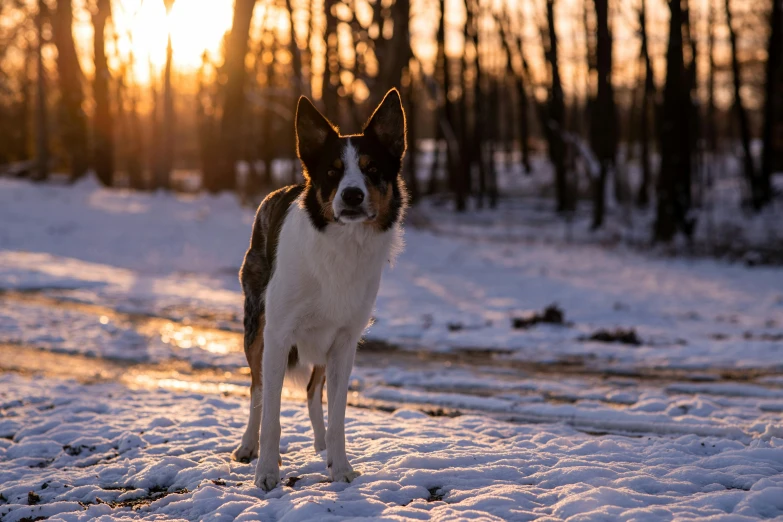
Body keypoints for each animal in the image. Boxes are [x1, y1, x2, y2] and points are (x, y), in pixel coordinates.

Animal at [231, 87, 404, 490]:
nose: (352, 195)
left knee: (313, 391)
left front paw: (339, 468)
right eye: (332, 173)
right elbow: (272, 414)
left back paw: (322, 445)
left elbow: (338, 413)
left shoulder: (345, 341)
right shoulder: (278, 335)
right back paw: (249, 447)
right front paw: (267, 472)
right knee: (257, 391)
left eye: (372, 170)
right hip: (256, 328)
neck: (342, 245)